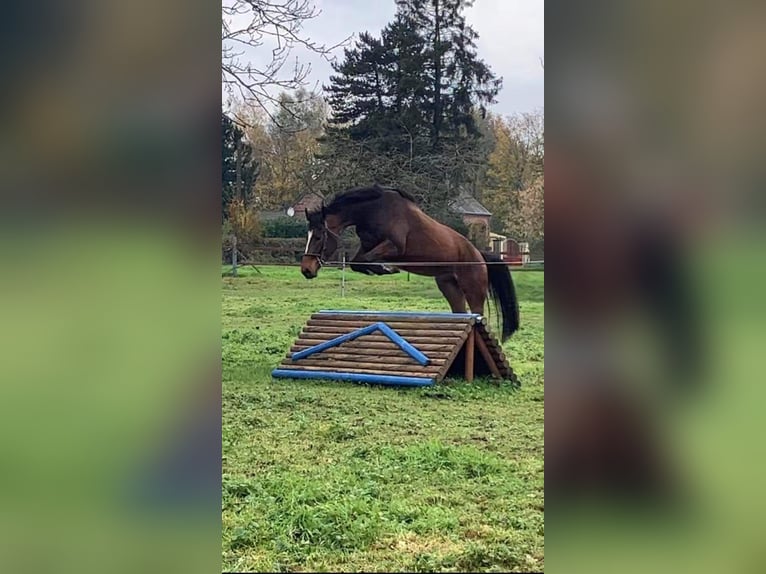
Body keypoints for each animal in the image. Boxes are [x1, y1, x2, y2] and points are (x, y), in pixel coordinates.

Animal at [300, 184, 520, 342]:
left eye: (318, 237)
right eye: (307, 235)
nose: (306, 270)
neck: (374, 211)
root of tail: (479, 255)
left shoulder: (395, 247)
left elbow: (369, 260)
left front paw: (387, 269)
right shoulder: (367, 246)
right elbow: (358, 262)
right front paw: (381, 269)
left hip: (473, 288)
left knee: (477, 313)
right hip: (449, 286)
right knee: (460, 312)